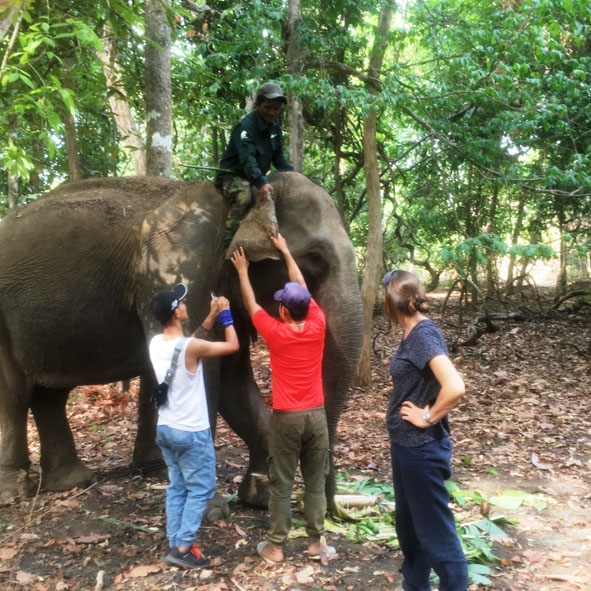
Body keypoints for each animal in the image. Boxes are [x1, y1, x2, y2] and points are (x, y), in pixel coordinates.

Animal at [0, 172, 366, 508]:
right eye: (316, 258)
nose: (331, 514)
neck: (234, 203)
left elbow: (233, 381)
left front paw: (258, 497)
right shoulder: (177, 273)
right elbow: (204, 370)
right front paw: (212, 508)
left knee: (49, 396)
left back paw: (71, 481)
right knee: (15, 393)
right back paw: (13, 494)